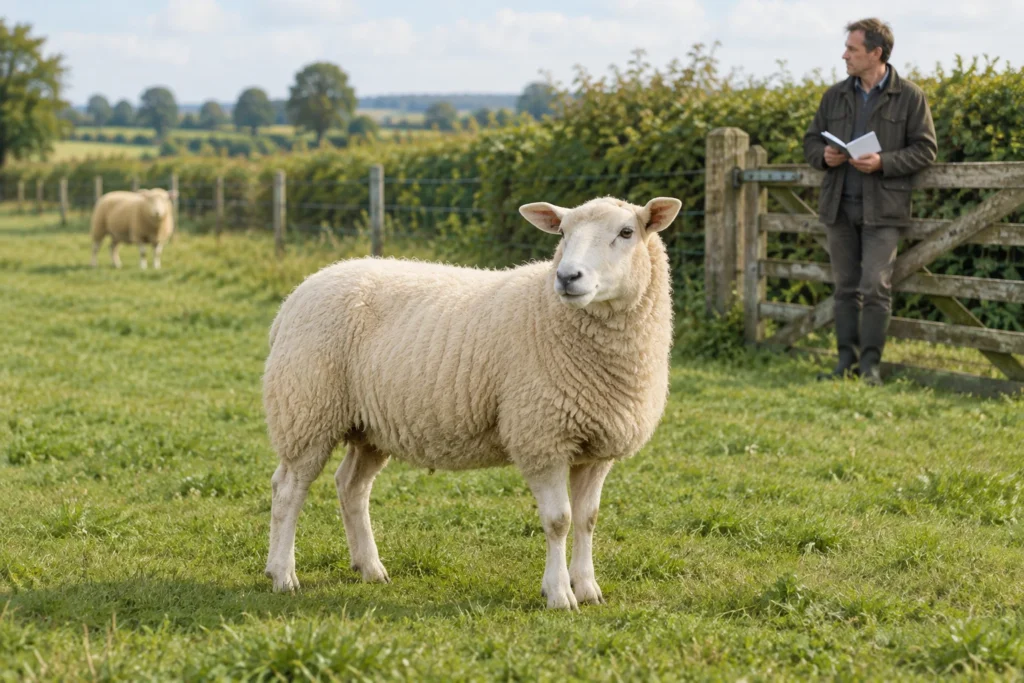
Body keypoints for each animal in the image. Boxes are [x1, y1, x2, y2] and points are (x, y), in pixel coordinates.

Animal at [262, 195, 682, 609]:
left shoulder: (597, 447)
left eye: (626, 232)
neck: (549, 312)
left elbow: (587, 519)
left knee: (351, 486)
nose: (567, 277)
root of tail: (294, 297)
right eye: (562, 232)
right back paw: (282, 574)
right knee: (288, 490)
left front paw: (588, 588)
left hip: (369, 427)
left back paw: (369, 567)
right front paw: (559, 594)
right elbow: (558, 520)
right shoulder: (540, 438)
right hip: (306, 409)